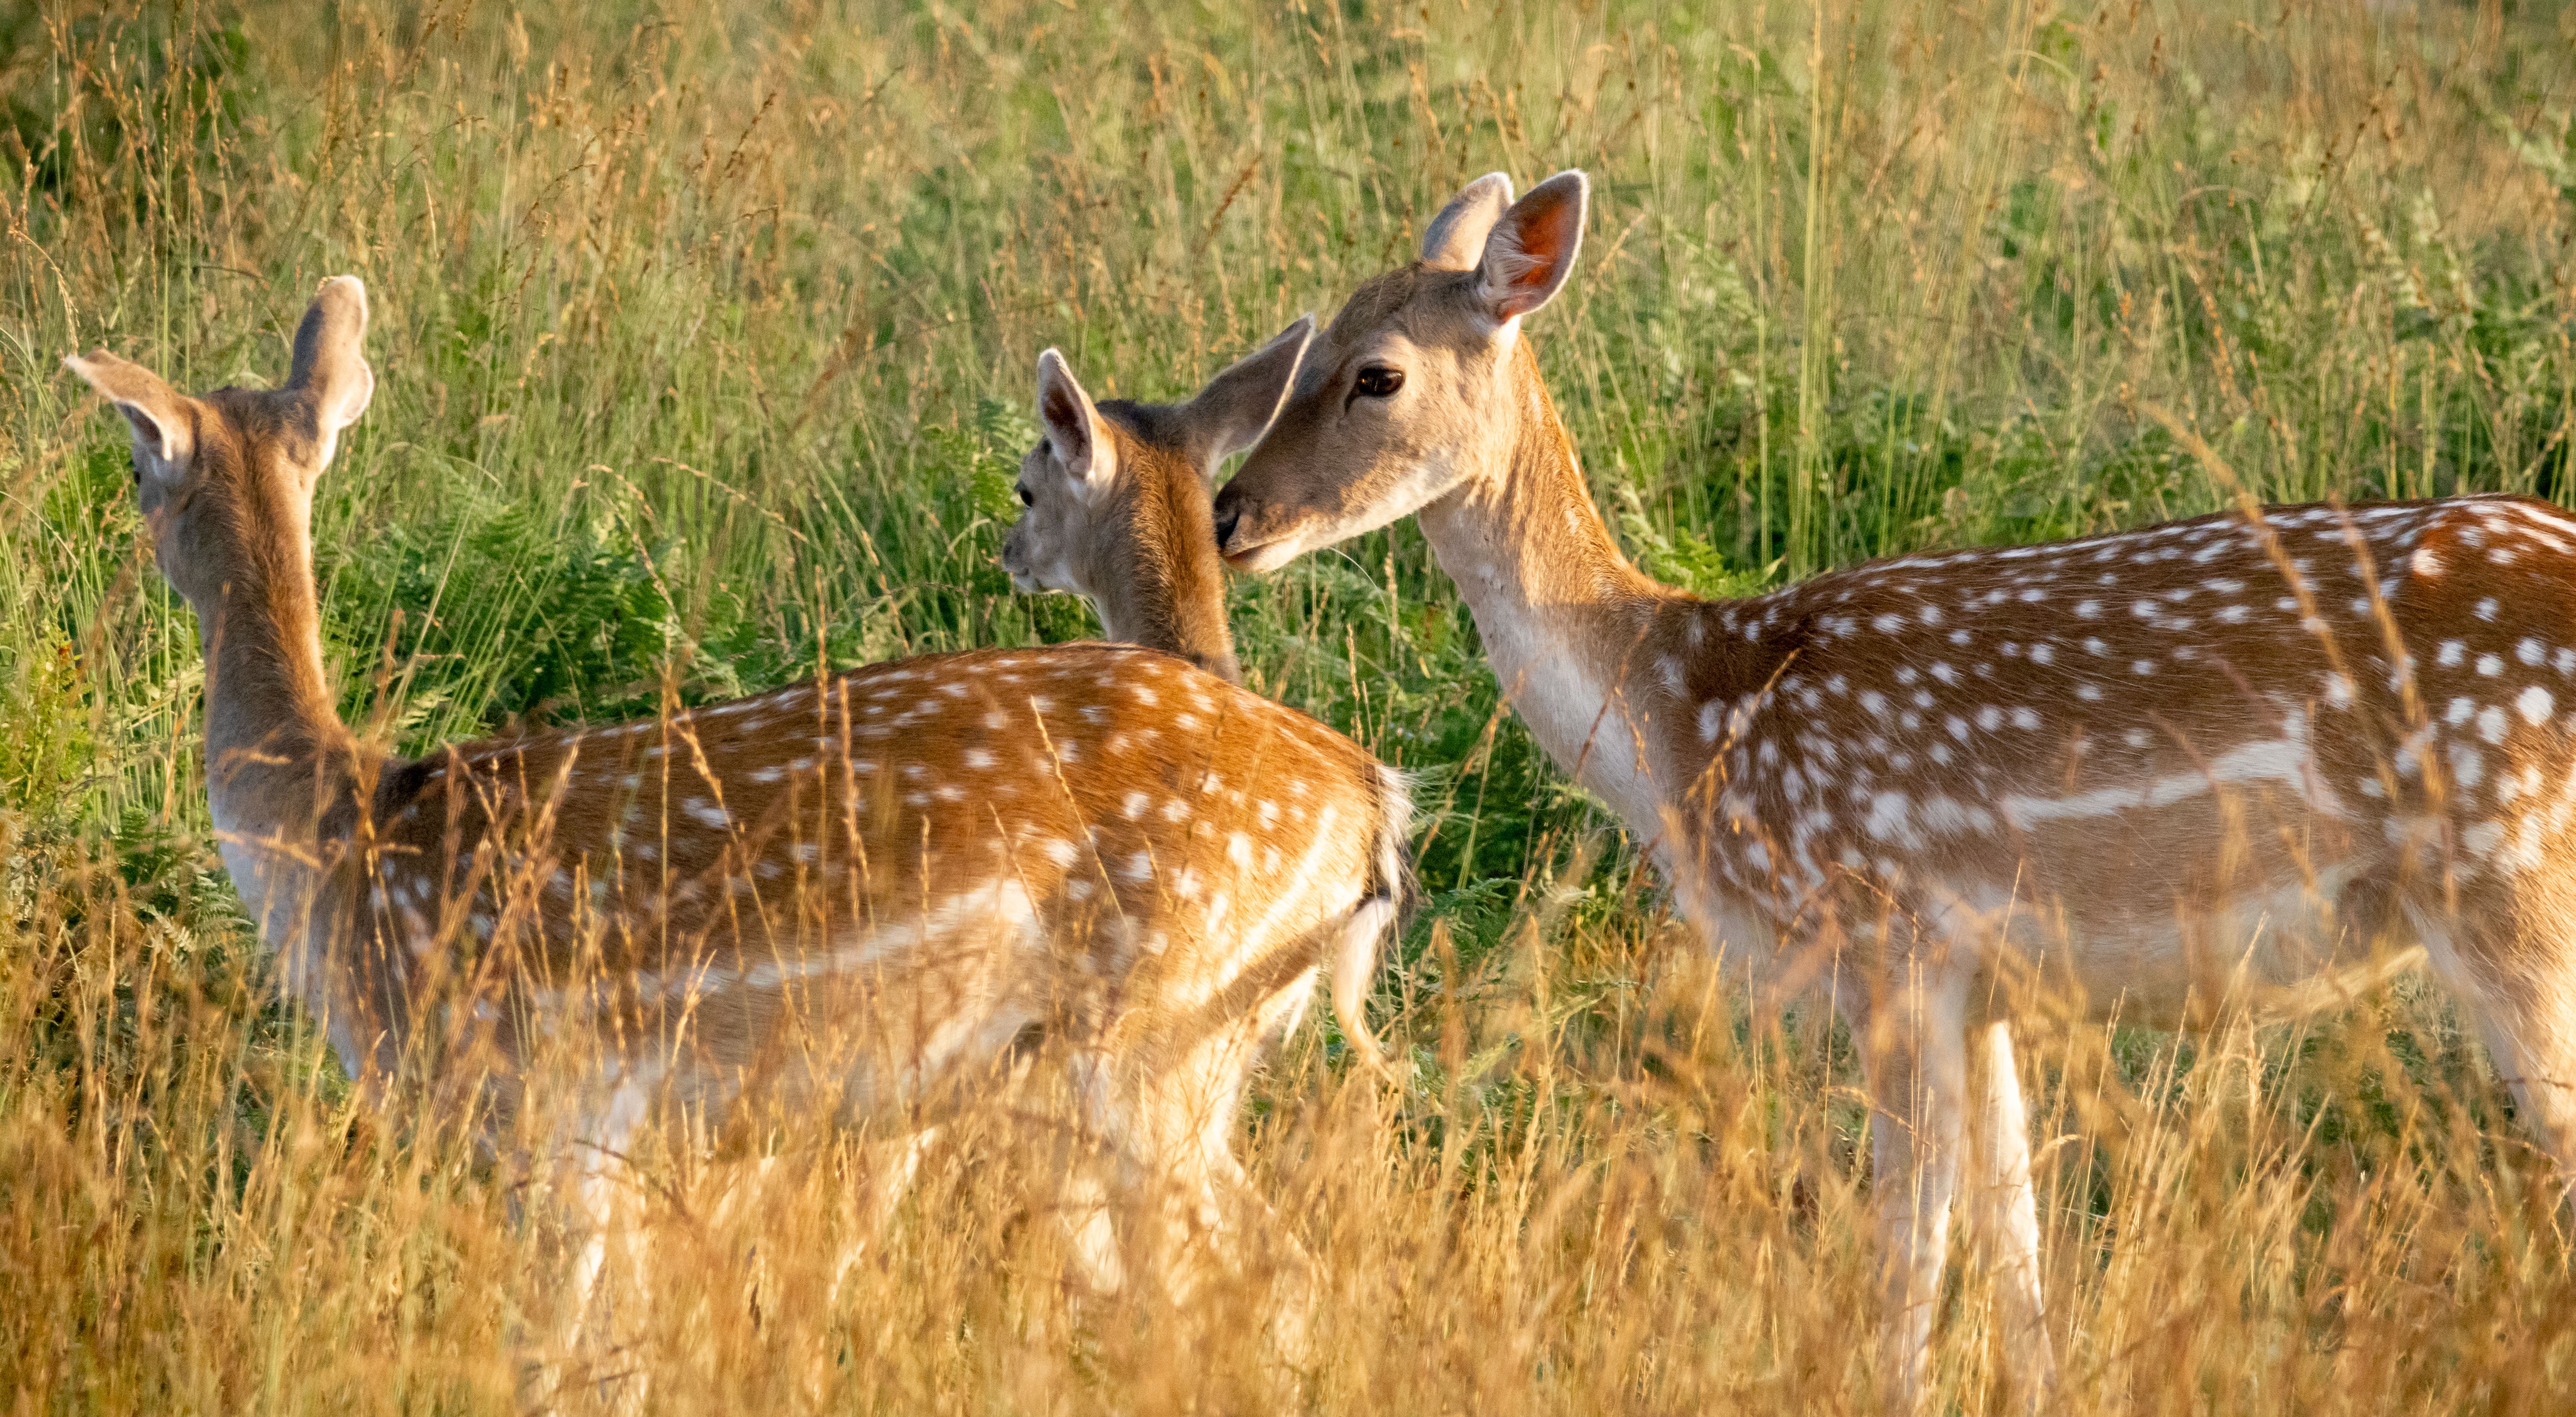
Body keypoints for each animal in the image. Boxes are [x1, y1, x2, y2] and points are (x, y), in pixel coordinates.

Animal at [63, 276, 1412, 1383]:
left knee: (1254, 1279)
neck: (340, 852)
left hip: (1150, 1036)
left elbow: (557, 1358)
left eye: (134, 467)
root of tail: (1371, 804)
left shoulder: (546, 1109)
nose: (120, 538)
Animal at [1210, 169, 2576, 1412]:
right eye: (1299, 351)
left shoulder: (1890, 937)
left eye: (1374, 373)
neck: (1683, 720)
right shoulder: (1987, 983)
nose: (1228, 515)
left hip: (2508, 888)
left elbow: (1905, 1252)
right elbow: (2015, 1242)